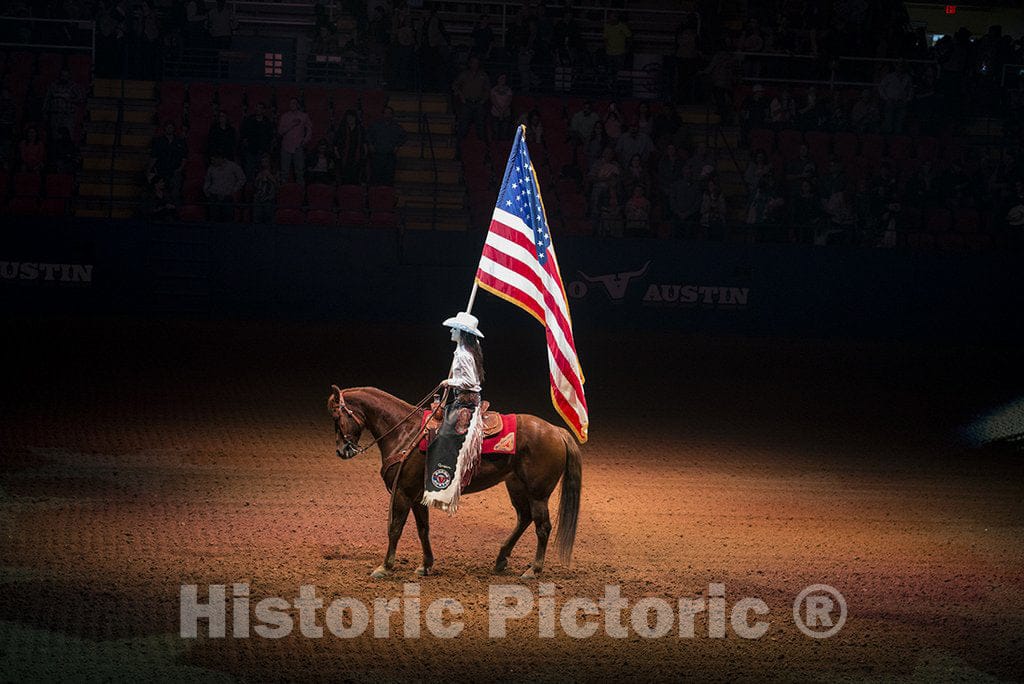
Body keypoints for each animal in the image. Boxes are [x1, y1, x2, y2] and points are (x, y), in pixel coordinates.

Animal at [329, 385, 585, 577]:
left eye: (337, 417)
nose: (342, 450)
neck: (406, 431)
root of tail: (556, 430)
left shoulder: (402, 492)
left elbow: (395, 528)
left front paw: (384, 567)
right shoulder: (417, 496)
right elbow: (423, 529)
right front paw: (425, 565)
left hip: (538, 493)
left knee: (542, 527)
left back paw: (534, 569)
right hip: (517, 487)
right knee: (524, 518)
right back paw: (501, 560)